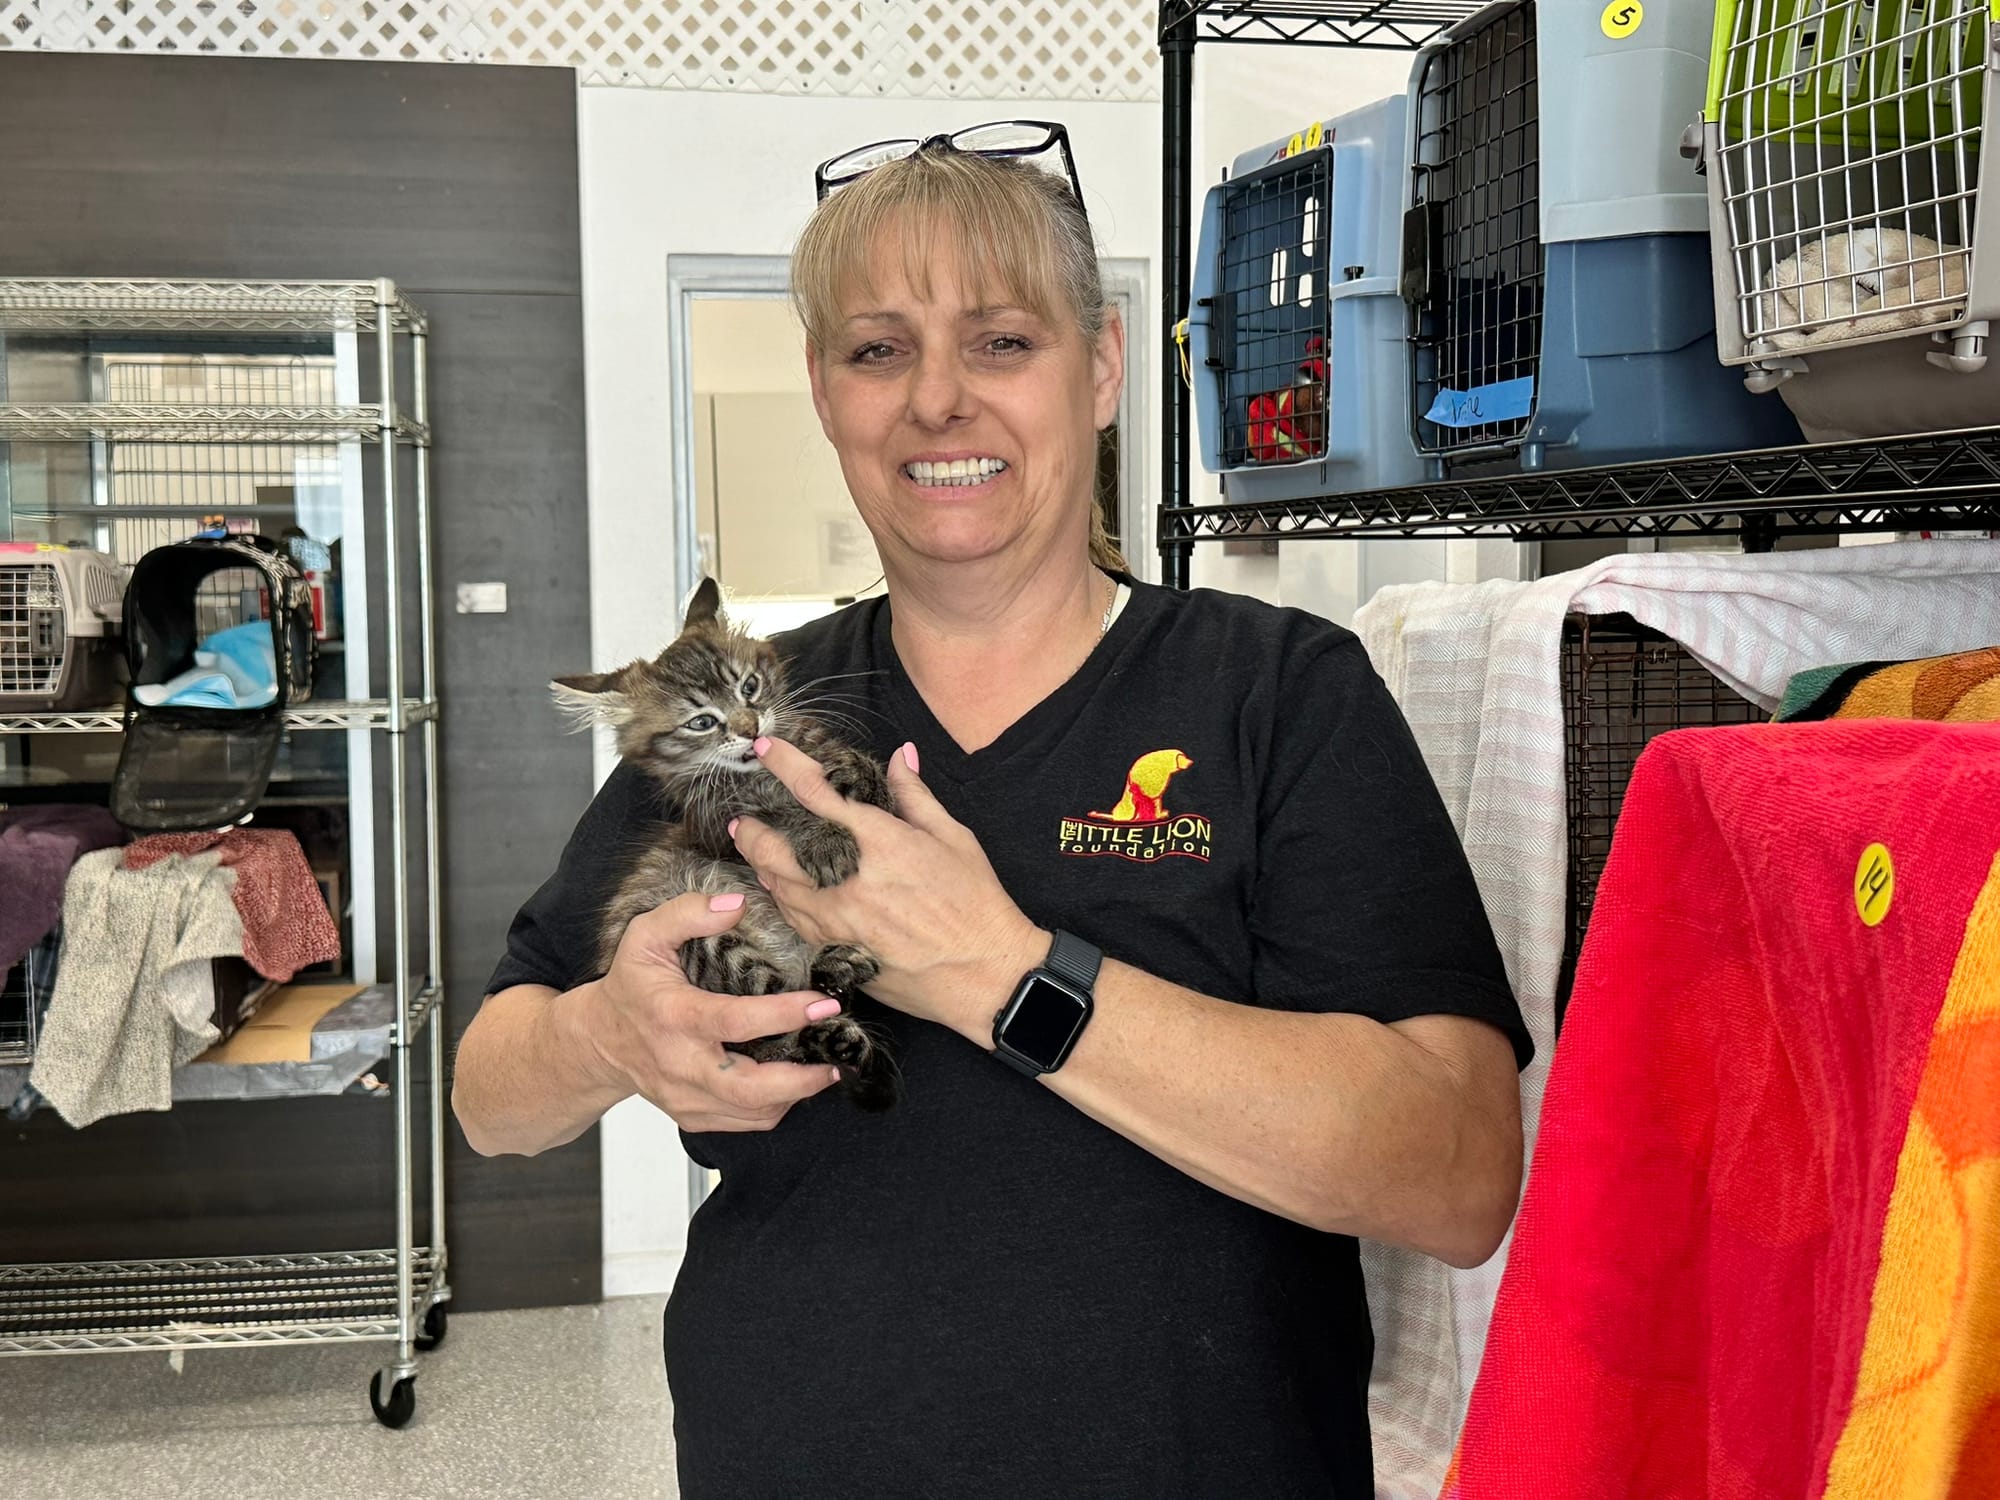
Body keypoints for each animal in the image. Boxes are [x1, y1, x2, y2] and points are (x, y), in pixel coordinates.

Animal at [544, 580, 896, 1112]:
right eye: (701, 723)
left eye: (749, 687)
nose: (750, 727)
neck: (762, 773)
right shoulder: (723, 823)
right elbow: (781, 817)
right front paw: (823, 839)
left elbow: (872, 782)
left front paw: (854, 772)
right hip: (708, 943)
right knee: (780, 1018)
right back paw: (833, 1026)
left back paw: (838, 976)